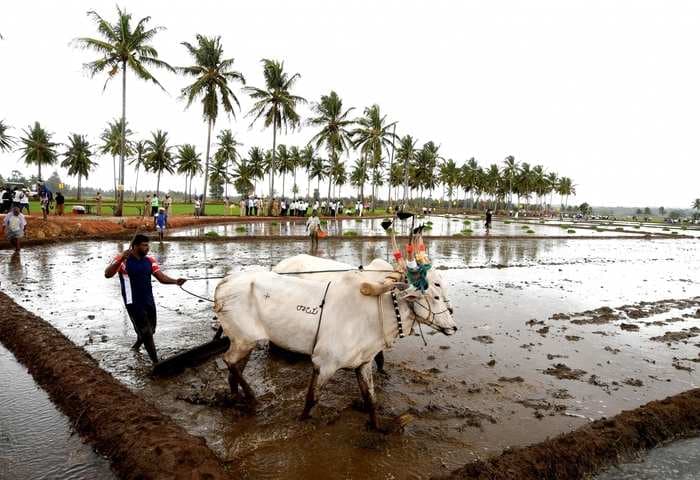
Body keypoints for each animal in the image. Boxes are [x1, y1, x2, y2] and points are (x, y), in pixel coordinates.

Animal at [213, 266, 456, 432]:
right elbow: (312, 399)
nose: (453, 327)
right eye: (435, 295)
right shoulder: (325, 364)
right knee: (229, 361)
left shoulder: (363, 363)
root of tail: (225, 281)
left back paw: (236, 397)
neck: (375, 316)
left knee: (235, 368)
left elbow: (371, 399)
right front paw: (301, 422)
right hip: (243, 340)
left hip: (245, 342)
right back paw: (251, 397)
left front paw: (378, 428)